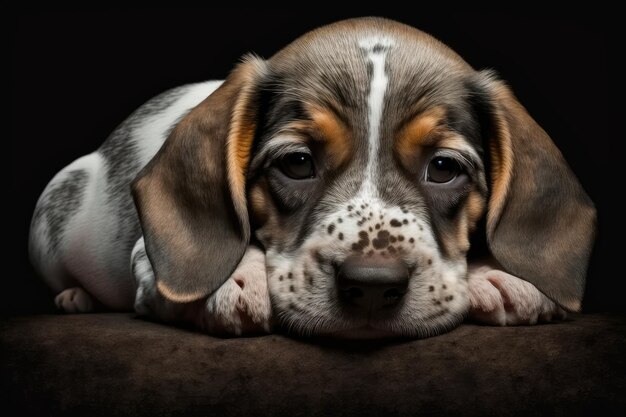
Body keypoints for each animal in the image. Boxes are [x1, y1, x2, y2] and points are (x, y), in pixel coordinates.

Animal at [30, 17, 596, 338]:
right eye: (298, 163)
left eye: (443, 168)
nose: (372, 286)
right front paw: (237, 274)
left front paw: (499, 274)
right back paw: (74, 298)